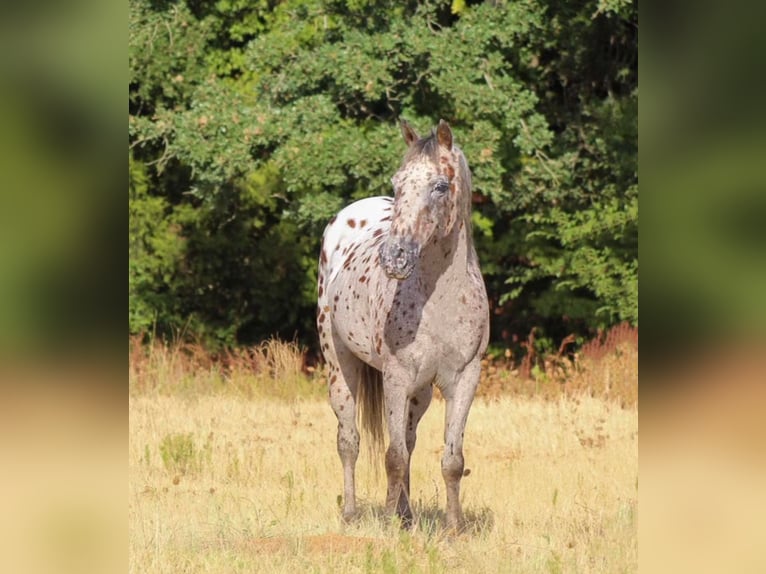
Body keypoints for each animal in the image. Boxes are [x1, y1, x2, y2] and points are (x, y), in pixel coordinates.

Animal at [318, 119, 492, 532]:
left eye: (440, 185)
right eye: (398, 183)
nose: (394, 257)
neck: (441, 302)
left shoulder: (465, 377)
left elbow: (451, 460)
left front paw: (453, 528)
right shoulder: (395, 376)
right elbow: (392, 456)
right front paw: (387, 525)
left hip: (421, 392)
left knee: (408, 441)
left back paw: (406, 514)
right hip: (339, 368)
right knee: (349, 440)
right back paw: (353, 514)